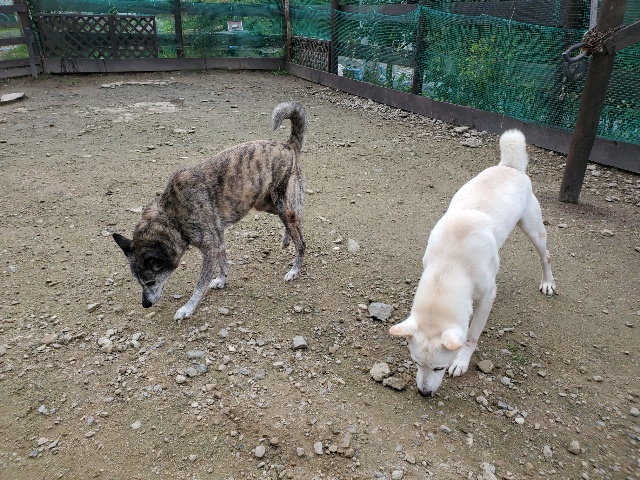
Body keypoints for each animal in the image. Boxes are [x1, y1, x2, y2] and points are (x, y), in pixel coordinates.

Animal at [113, 101, 307, 320]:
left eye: (150, 282)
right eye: (138, 282)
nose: (145, 304)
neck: (173, 215)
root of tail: (288, 145)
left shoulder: (210, 248)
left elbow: (199, 285)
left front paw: (187, 308)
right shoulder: (218, 239)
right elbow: (224, 261)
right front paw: (222, 280)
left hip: (280, 202)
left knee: (300, 237)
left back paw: (294, 269)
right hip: (265, 203)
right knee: (296, 217)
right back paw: (286, 238)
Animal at [389, 129, 556, 397]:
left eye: (439, 368)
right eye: (416, 363)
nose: (424, 393)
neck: (449, 265)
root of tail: (510, 167)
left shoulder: (487, 297)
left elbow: (471, 335)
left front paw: (461, 361)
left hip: (533, 229)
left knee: (546, 255)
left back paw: (548, 282)